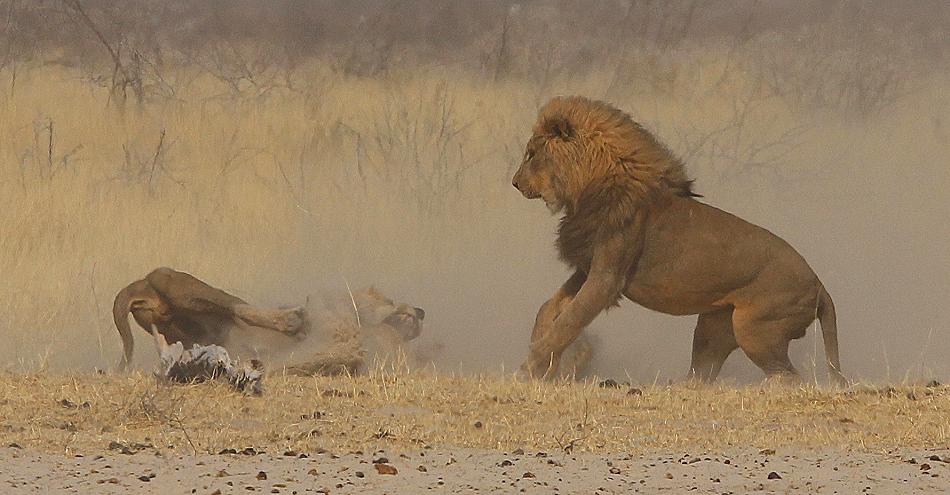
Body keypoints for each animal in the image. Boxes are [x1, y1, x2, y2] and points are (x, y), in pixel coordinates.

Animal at [512, 95, 848, 386]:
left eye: (531, 154)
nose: (515, 183)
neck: (592, 186)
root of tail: (819, 285)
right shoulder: (587, 268)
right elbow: (550, 307)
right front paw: (539, 352)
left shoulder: (607, 278)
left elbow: (569, 321)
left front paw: (529, 369)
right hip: (715, 325)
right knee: (704, 374)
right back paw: (677, 386)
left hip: (756, 329)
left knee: (788, 377)